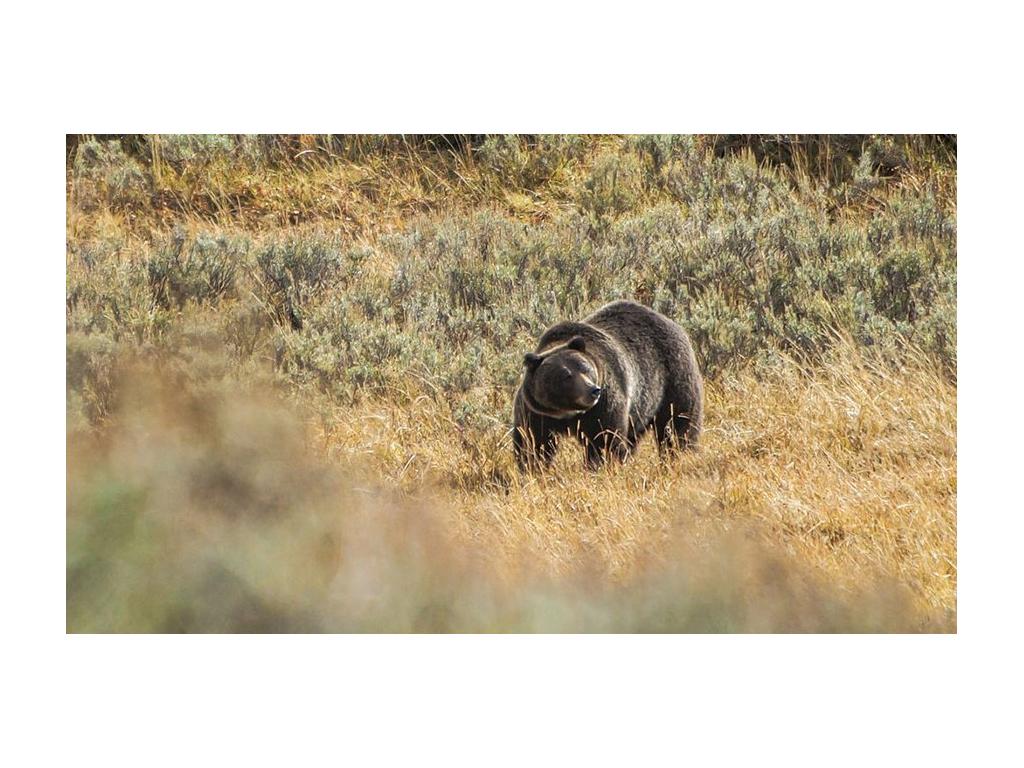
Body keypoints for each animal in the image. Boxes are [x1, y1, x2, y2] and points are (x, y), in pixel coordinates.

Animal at [512, 300, 703, 470]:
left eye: (586, 368)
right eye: (566, 376)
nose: (593, 390)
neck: (568, 413)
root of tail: (669, 321)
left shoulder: (604, 404)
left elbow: (605, 439)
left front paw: (600, 465)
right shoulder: (537, 411)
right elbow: (533, 442)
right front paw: (532, 467)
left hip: (673, 379)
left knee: (678, 424)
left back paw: (680, 454)